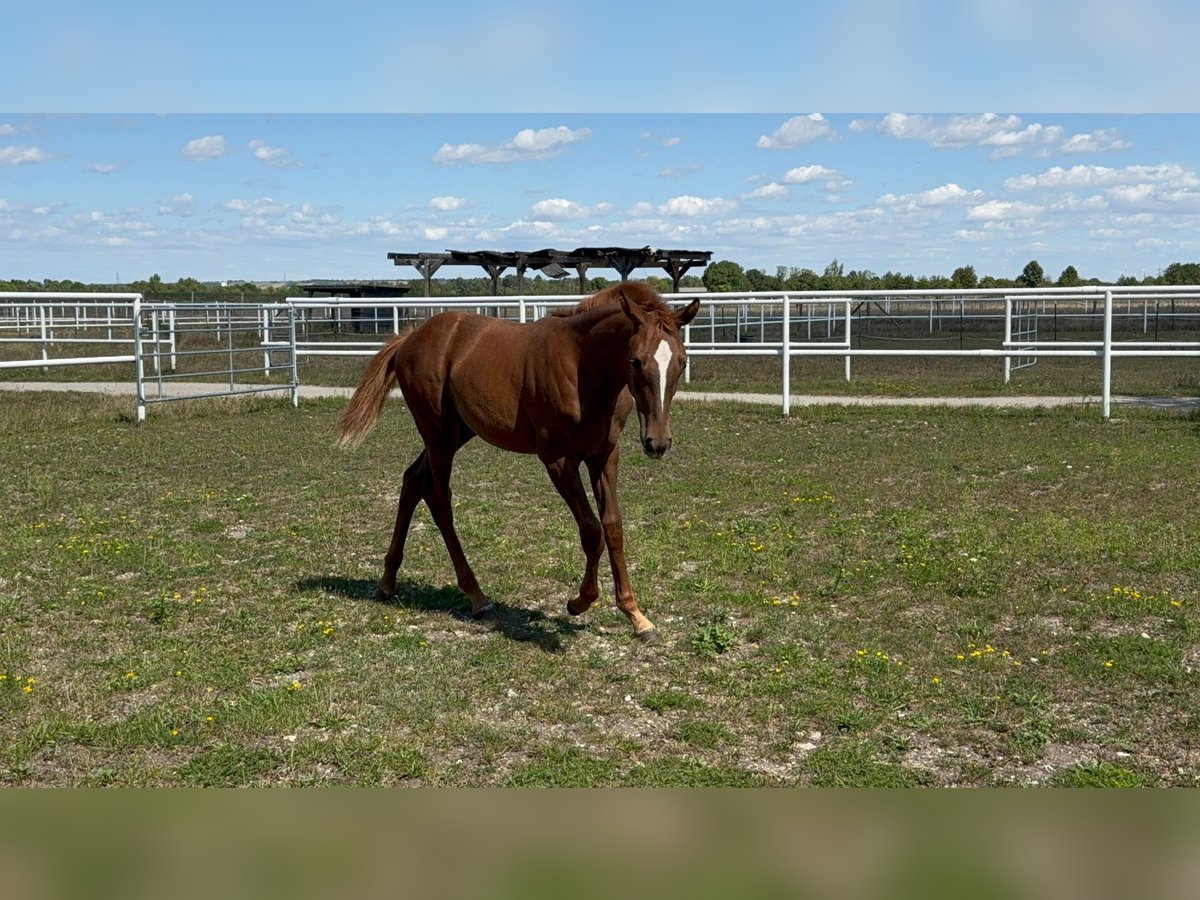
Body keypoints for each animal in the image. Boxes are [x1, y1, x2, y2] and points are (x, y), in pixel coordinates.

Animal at [337, 281, 700, 642]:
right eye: (635, 361)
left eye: (682, 362)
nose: (657, 443)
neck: (581, 366)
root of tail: (410, 338)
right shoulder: (557, 460)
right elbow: (591, 530)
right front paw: (579, 602)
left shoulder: (604, 455)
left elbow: (612, 527)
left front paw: (636, 616)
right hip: (439, 435)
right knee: (438, 499)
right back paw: (477, 597)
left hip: (457, 432)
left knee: (413, 481)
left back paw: (387, 581)